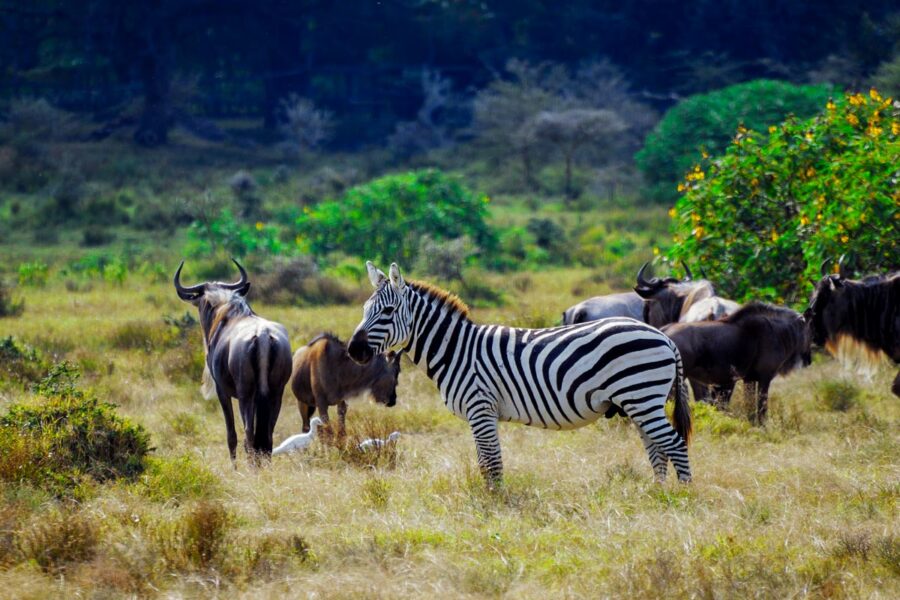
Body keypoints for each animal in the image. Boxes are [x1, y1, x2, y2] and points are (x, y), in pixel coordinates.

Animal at [347, 262, 693, 486]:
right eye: (364, 310)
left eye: (388, 311)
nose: (354, 351)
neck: (456, 349)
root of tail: (663, 337)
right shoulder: (479, 413)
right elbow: (484, 463)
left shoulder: (481, 408)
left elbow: (492, 463)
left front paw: (496, 504)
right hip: (638, 402)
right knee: (657, 448)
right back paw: (657, 494)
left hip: (642, 396)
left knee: (674, 444)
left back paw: (682, 497)